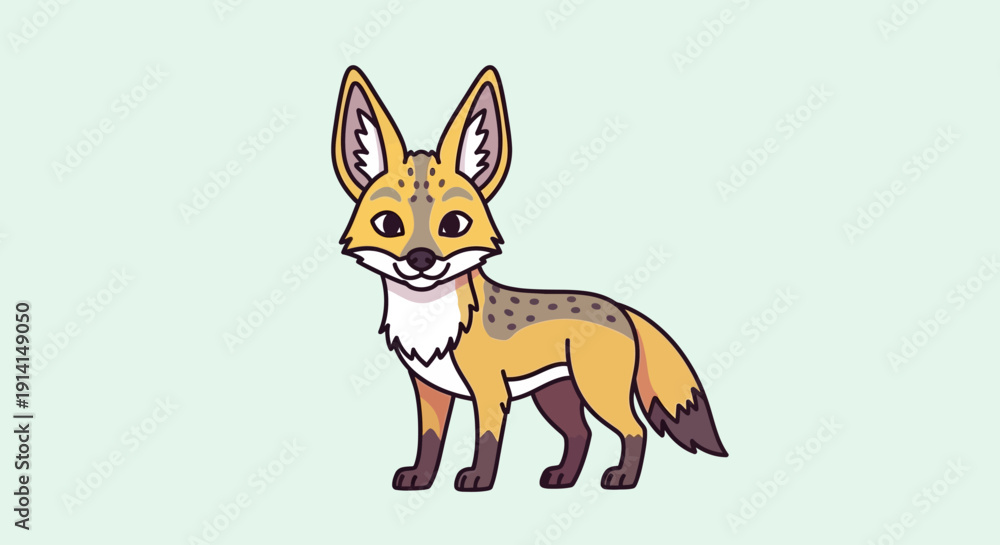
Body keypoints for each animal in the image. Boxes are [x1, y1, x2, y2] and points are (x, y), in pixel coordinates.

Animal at [332, 65, 727, 491]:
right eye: (388, 225)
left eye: (454, 225)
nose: (421, 259)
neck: (432, 323)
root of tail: (620, 309)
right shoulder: (430, 390)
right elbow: (430, 441)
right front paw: (420, 477)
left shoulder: (490, 390)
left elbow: (486, 440)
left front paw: (478, 479)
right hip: (555, 397)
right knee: (581, 433)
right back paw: (563, 477)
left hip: (596, 392)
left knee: (633, 429)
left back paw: (621, 477)